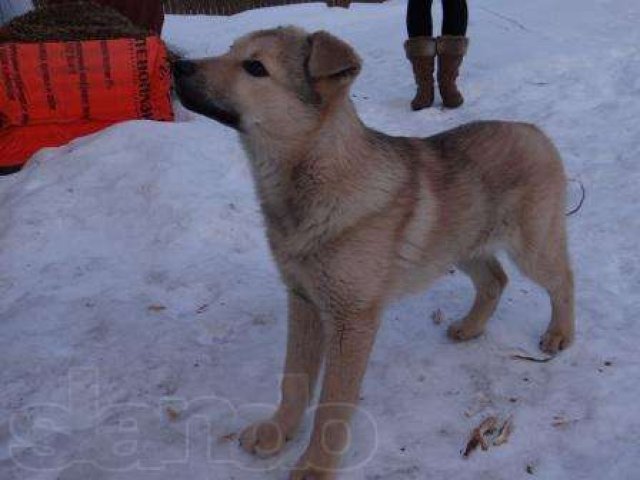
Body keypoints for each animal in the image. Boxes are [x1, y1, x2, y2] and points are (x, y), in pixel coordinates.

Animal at [174, 28, 576, 478]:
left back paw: (559, 334)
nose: (177, 66)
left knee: (562, 280)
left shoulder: (351, 321)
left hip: (532, 246)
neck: (316, 179)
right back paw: (470, 327)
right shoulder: (303, 301)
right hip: (462, 245)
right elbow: (294, 379)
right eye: (230, 52)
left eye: (255, 67)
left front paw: (315, 466)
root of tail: (532, 130)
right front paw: (277, 433)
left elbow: (332, 405)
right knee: (495, 279)